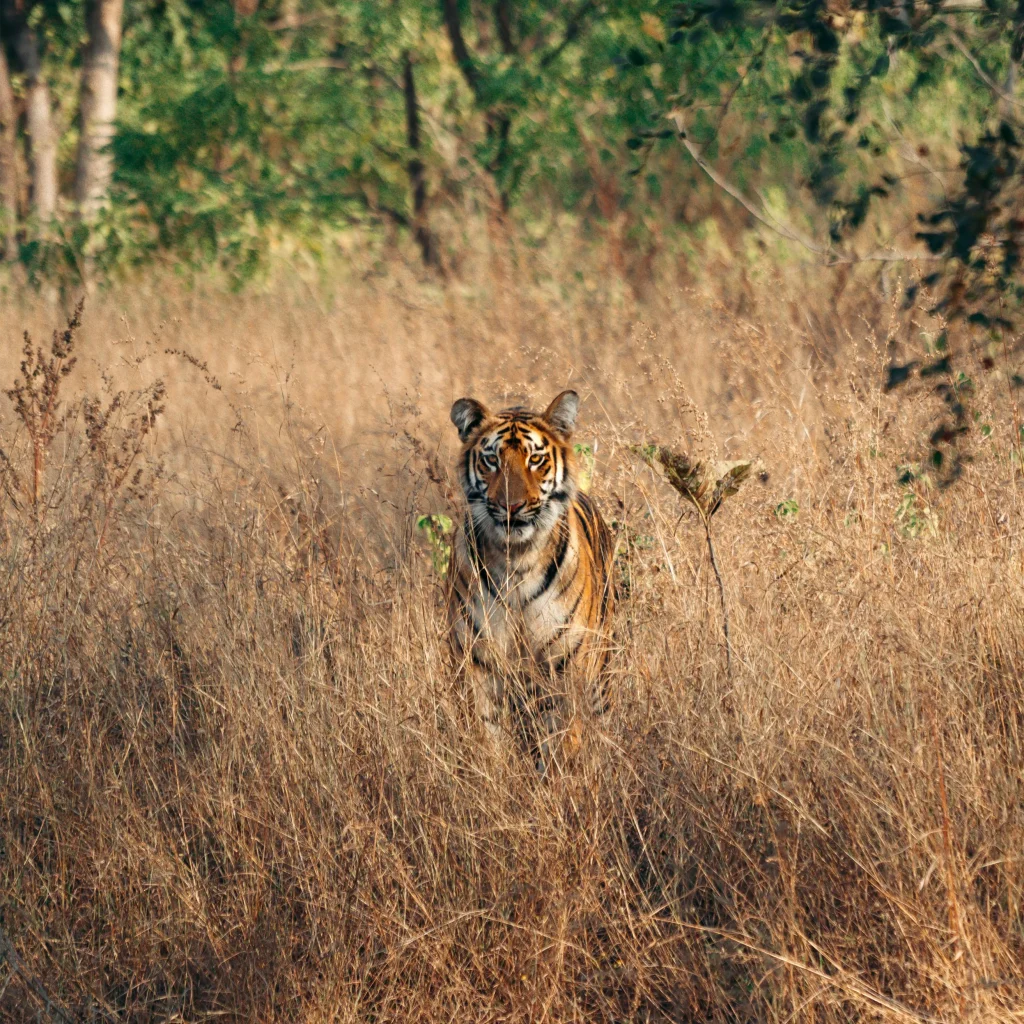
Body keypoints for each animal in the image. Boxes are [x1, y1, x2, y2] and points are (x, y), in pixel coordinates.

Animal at [444, 389, 610, 770]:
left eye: (535, 459)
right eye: (491, 460)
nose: (512, 506)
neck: (516, 561)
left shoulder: (565, 663)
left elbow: (565, 739)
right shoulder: (480, 662)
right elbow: (487, 736)